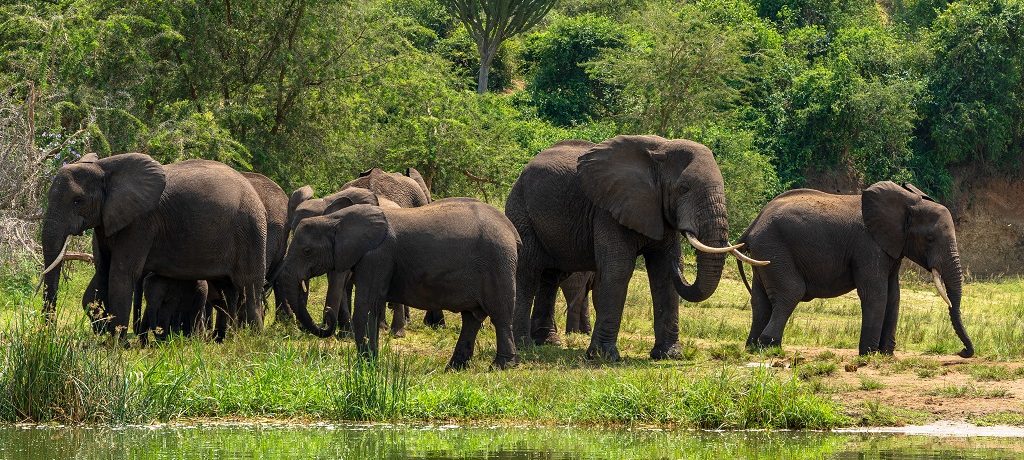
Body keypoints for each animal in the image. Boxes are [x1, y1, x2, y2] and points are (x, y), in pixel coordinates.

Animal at [41, 152, 266, 338]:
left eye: (78, 201)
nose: (48, 336)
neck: (104, 168)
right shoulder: (107, 221)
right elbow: (102, 271)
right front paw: (104, 333)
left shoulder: (141, 222)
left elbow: (121, 273)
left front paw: (115, 345)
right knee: (226, 291)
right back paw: (223, 340)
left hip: (250, 231)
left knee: (249, 287)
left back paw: (253, 340)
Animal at [280, 196, 520, 368]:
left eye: (307, 251)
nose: (327, 320)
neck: (334, 220)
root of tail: (511, 229)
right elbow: (370, 308)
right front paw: (370, 362)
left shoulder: (377, 256)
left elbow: (366, 307)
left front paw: (366, 365)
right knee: (471, 318)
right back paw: (454, 367)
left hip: (498, 263)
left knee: (499, 315)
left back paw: (501, 366)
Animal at [737, 181, 974, 356]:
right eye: (930, 239)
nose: (963, 352)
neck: (908, 201)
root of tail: (752, 225)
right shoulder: (867, 245)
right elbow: (876, 294)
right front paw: (868, 354)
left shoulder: (892, 246)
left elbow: (893, 295)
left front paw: (886, 355)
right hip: (774, 248)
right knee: (790, 292)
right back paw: (770, 347)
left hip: (765, 252)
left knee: (760, 300)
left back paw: (753, 347)